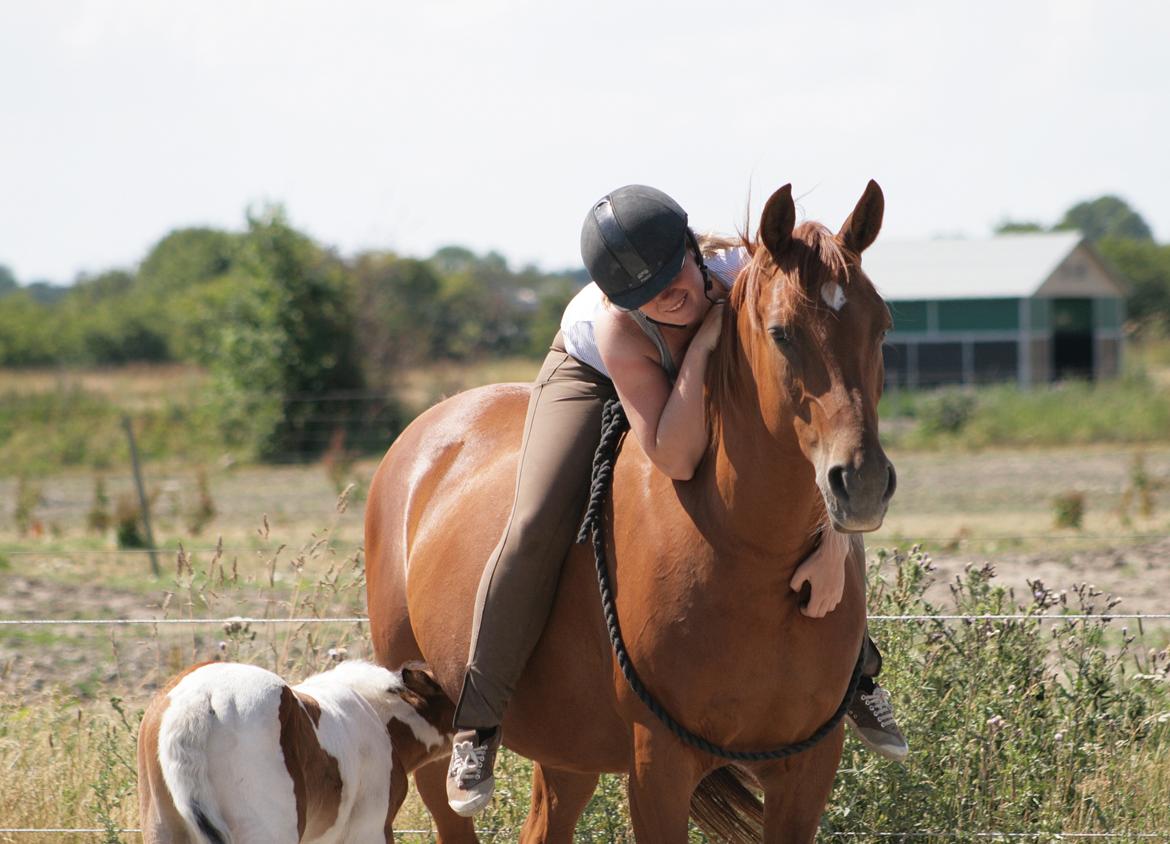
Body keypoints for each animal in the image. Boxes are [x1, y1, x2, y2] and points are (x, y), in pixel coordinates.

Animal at [365, 181, 893, 838]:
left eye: (881, 325)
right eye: (782, 332)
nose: (862, 482)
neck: (748, 553)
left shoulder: (807, 766)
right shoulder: (657, 762)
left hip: (567, 753)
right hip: (431, 743)